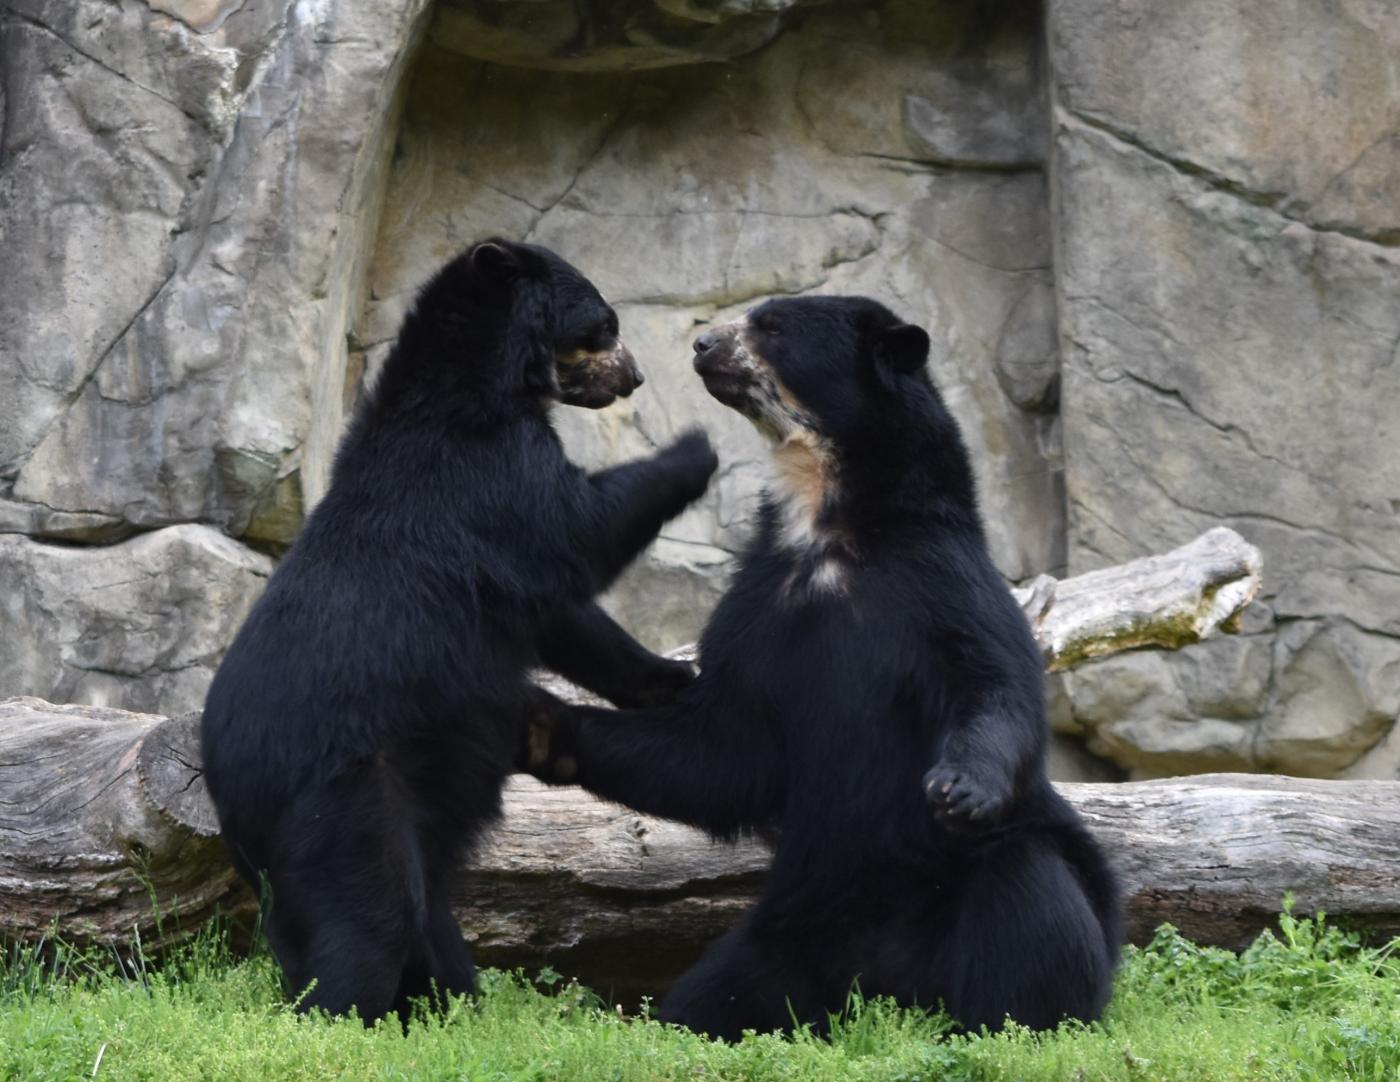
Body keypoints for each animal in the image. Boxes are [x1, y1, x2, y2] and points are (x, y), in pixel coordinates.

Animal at [203, 236, 716, 1019]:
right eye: (604, 325)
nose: (634, 377)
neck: (481, 385)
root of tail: (226, 787)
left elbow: (570, 617)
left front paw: (674, 676)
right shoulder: (483, 474)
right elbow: (575, 530)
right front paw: (696, 446)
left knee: (417, 916)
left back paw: (445, 1003)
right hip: (345, 796)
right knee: (368, 917)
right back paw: (344, 1015)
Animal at [526, 295, 1125, 1035]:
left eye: (774, 327)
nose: (702, 344)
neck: (826, 525)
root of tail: (892, 992)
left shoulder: (942, 581)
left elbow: (993, 681)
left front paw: (958, 787)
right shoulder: (759, 603)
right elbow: (722, 750)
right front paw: (541, 726)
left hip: (1007, 879)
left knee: (1031, 896)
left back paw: (1013, 1024)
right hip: (787, 930)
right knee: (717, 994)